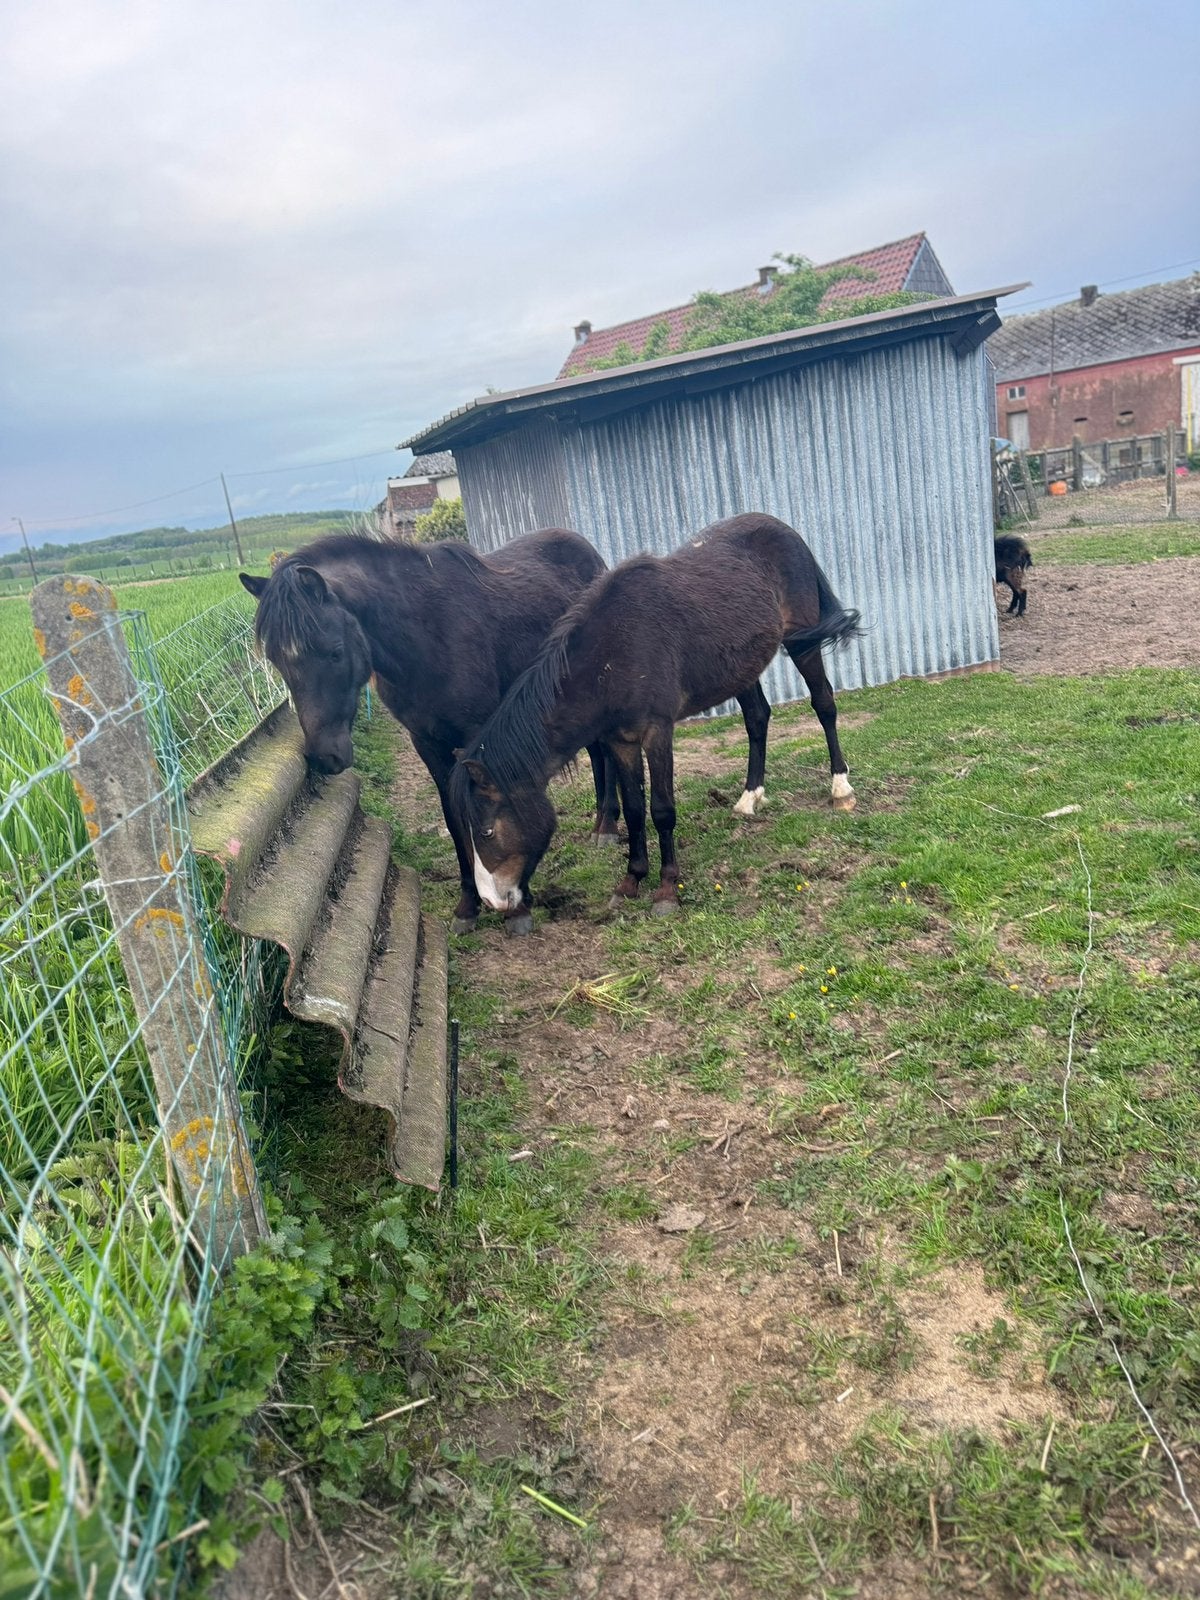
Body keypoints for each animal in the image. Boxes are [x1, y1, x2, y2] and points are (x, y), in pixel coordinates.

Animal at [239, 529, 619, 936]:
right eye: (276, 660)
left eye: (335, 651)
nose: (324, 756)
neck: (426, 637)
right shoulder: (427, 744)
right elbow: (456, 821)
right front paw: (468, 907)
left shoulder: (479, 738)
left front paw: (518, 907)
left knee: (603, 750)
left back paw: (607, 826)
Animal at [450, 513, 861, 921]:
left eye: (486, 832)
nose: (493, 902)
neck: (612, 657)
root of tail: (783, 529)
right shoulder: (621, 742)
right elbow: (634, 810)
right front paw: (631, 880)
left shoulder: (657, 732)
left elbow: (661, 810)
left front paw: (666, 888)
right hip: (743, 666)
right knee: (757, 719)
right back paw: (749, 799)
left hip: (801, 641)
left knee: (824, 705)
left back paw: (840, 788)